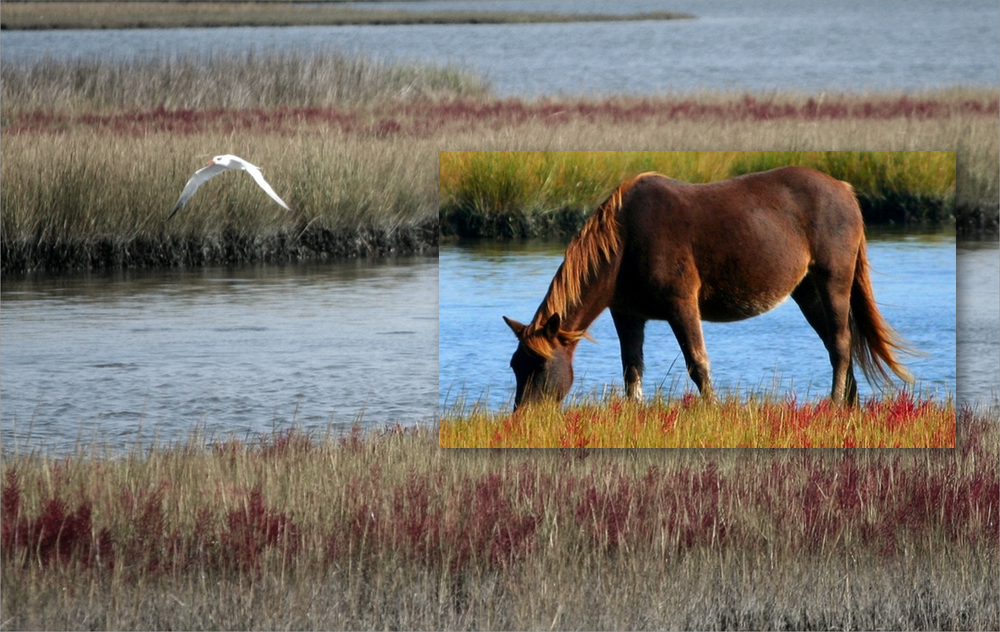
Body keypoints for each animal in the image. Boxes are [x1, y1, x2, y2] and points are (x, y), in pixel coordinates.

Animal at [508, 165, 916, 408]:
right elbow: (631, 371)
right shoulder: (627, 315)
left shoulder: (681, 305)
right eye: (515, 365)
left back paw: (834, 405)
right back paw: (848, 405)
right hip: (807, 291)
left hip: (833, 280)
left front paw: (711, 411)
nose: (523, 417)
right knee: (836, 343)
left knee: (842, 344)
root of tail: (845, 190)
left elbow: (698, 364)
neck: (625, 241)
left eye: (540, 366)